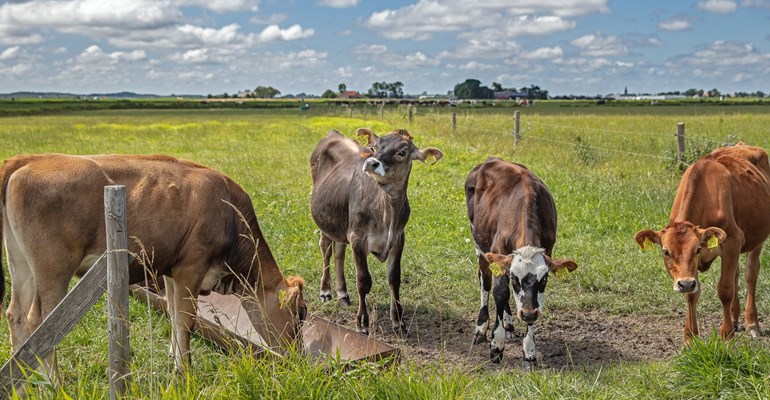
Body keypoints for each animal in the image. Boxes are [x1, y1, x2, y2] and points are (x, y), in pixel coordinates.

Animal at [0, 154, 306, 376]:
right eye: (300, 313)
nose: (298, 357)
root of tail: (27, 159)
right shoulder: (191, 267)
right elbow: (186, 320)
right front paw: (184, 371)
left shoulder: (171, 269)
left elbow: (172, 312)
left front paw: (173, 356)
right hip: (53, 270)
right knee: (41, 324)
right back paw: (52, 382)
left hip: (20, 264)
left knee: (16, 314)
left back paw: (26, 379)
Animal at [308, 128, 440, 334]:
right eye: (375, 147)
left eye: (402, 152)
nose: (371, 162)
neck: (387, 213)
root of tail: (333, 133)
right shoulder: (357, 238)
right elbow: (363, 281)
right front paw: (362, 322)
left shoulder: (398, 239)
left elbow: (394, 278)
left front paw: (398, 321)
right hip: (324, 221)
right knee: (326, 250)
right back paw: (326, 291)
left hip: (341, 223)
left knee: (339, 251)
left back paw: (342, 293)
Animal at [462, 157, 576, 368]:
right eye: (516, 279)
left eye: (544, 279)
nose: (528, 315)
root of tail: (491, 159)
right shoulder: (498, 254)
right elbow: (500, 293)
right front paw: (496, 345)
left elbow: (533, 302)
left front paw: (529, 351)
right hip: (479, 244)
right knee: (485, 281)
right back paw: (481, 328)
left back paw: (508, 323)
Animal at [632, 143, 768, 344]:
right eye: (666, 252)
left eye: (697, 249)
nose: (685, 283)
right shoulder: (690, 270)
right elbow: (692, 295)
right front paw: (690, 338)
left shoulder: (732, 242)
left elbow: (725, 290)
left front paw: (726, 335)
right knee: (735, 274)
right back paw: (734, 319)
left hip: (758, 238)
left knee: (751, 273)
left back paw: (752, 324)